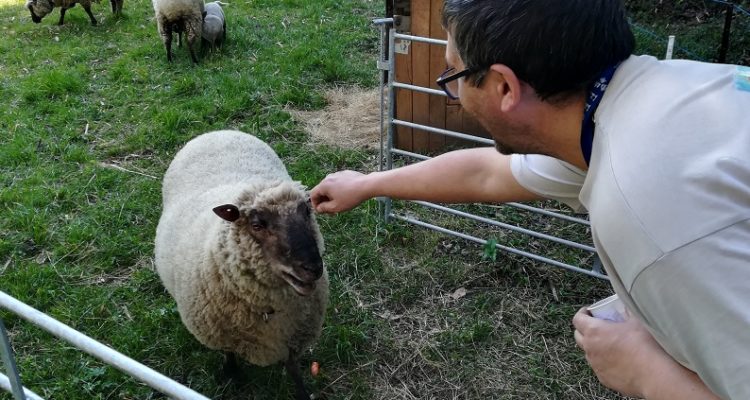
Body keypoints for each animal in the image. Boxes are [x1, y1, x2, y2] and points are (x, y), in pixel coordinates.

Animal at [154, 129, 328, 400]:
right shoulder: (222, 335)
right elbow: (229, 353)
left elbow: (292, 368)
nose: (312, 268)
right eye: (257, 225)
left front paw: (301, 391)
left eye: (308, 213)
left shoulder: (293, 340)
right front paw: (232, 375)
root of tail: (216, 131)